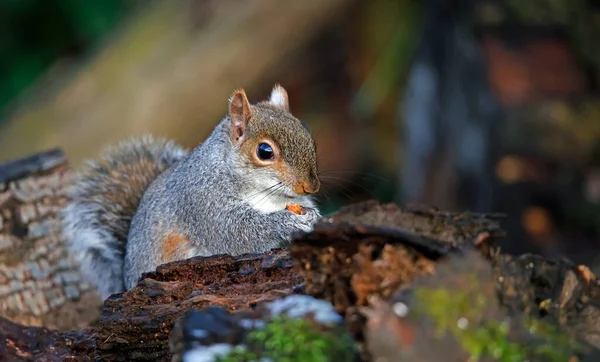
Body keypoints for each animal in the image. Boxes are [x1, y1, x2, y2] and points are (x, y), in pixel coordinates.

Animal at [62, 85, 318, 300]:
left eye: (309, 137)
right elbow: (237, 231)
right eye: (264, 151)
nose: (311, 186)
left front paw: (313, 215)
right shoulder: (203, 202)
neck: (266, 195)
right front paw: (287, 222)